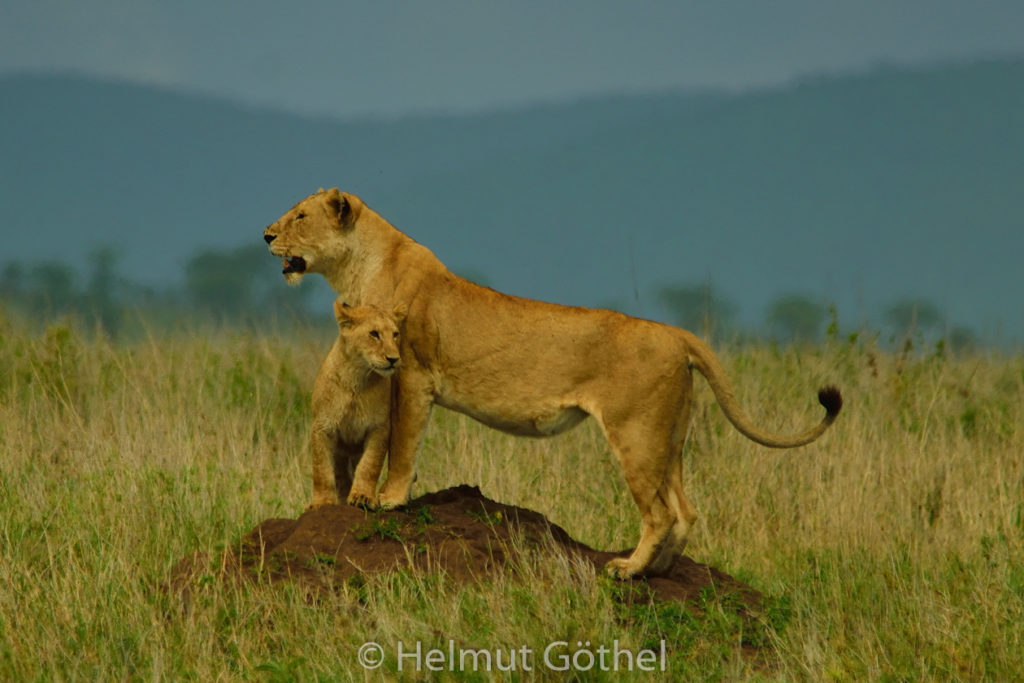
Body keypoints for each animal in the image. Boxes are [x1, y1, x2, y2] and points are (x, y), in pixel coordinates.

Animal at [309, 299, 405, 509]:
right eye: (374, 334)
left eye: (395, 334)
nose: (393, 359)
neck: (357, 377)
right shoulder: (322, 426)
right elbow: (321, 469)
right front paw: (322, 503)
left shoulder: (379, 427)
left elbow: (369, 465)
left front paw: (362, 497)